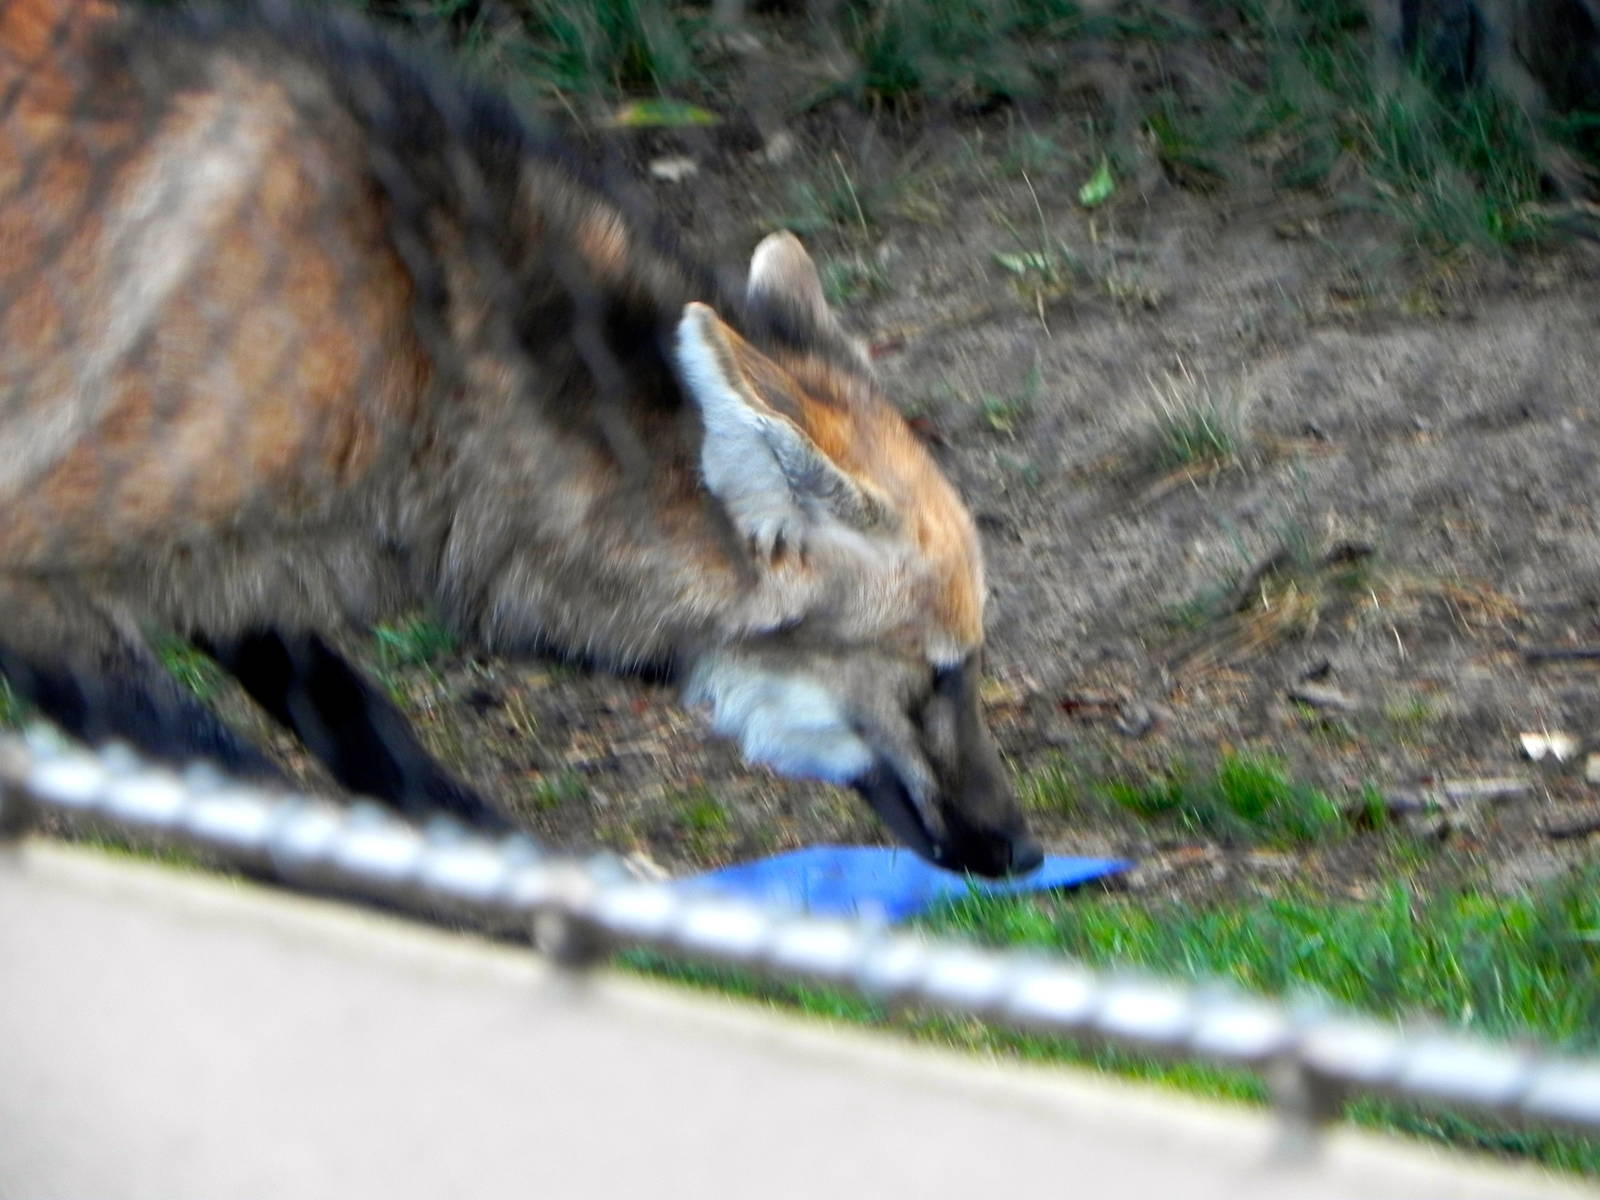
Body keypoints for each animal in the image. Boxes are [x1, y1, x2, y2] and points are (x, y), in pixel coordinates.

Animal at [0, 0, 1042, 876]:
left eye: (964, 668)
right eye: (939, 677)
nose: (1023, 850)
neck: (418, 346)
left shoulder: (225, 558)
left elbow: (363, 724)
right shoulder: (47, 591)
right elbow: (244, 790)